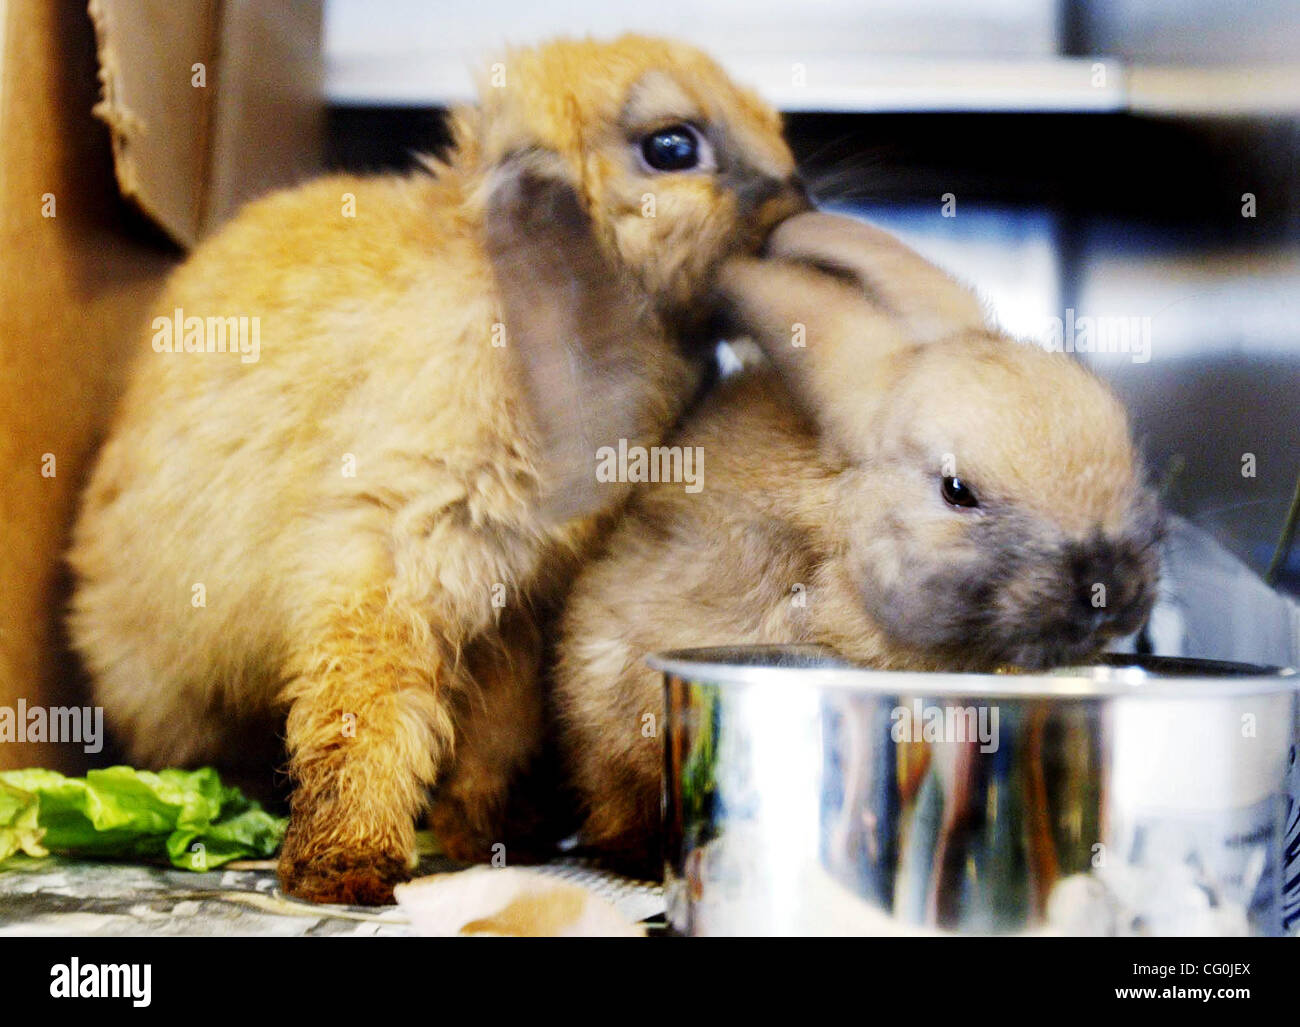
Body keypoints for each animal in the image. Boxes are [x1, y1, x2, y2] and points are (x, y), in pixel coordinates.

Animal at [66, 35, 806, 905]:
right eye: (671, 146)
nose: (799, 202)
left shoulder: (516, 615)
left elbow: (492, 733)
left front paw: (488, 834)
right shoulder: (390, 559)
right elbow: (364, 715)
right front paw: (345, 868)